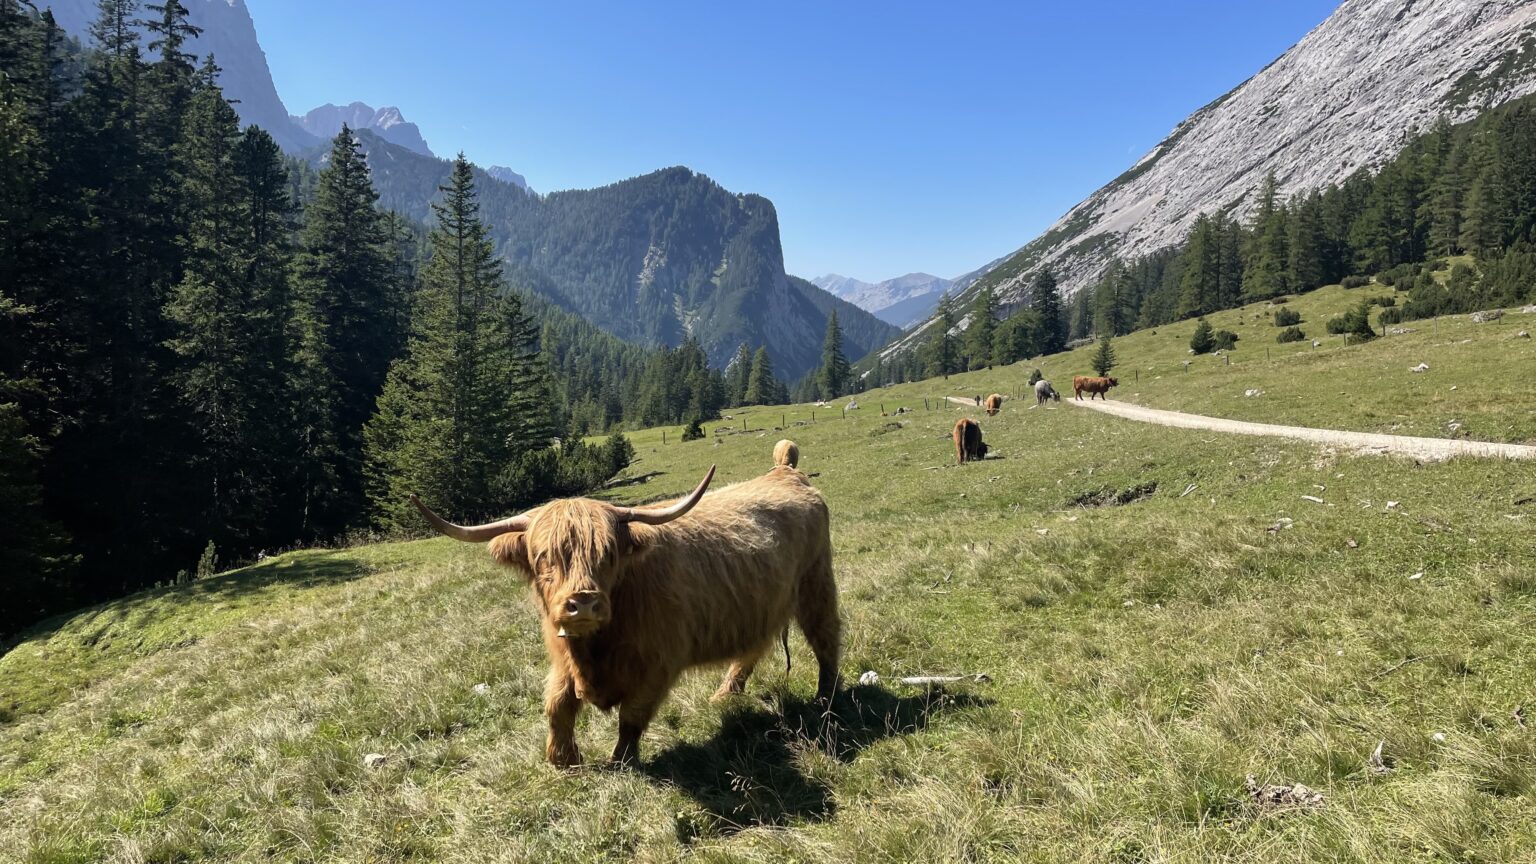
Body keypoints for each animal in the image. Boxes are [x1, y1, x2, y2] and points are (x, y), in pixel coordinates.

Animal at [410, 452, 840, 769]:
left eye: (608, 554)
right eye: (544, 556)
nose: (583, 602)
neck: (596, 647)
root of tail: (786, 472)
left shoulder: (658, 665)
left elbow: (631, 716)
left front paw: (620, 762)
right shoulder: (562, 657)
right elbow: (557, 704)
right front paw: (563, 759)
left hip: (816, 584)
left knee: (826, 641)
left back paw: (825, 700)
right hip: (760, 604)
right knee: (753, 648)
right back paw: (724, 695)